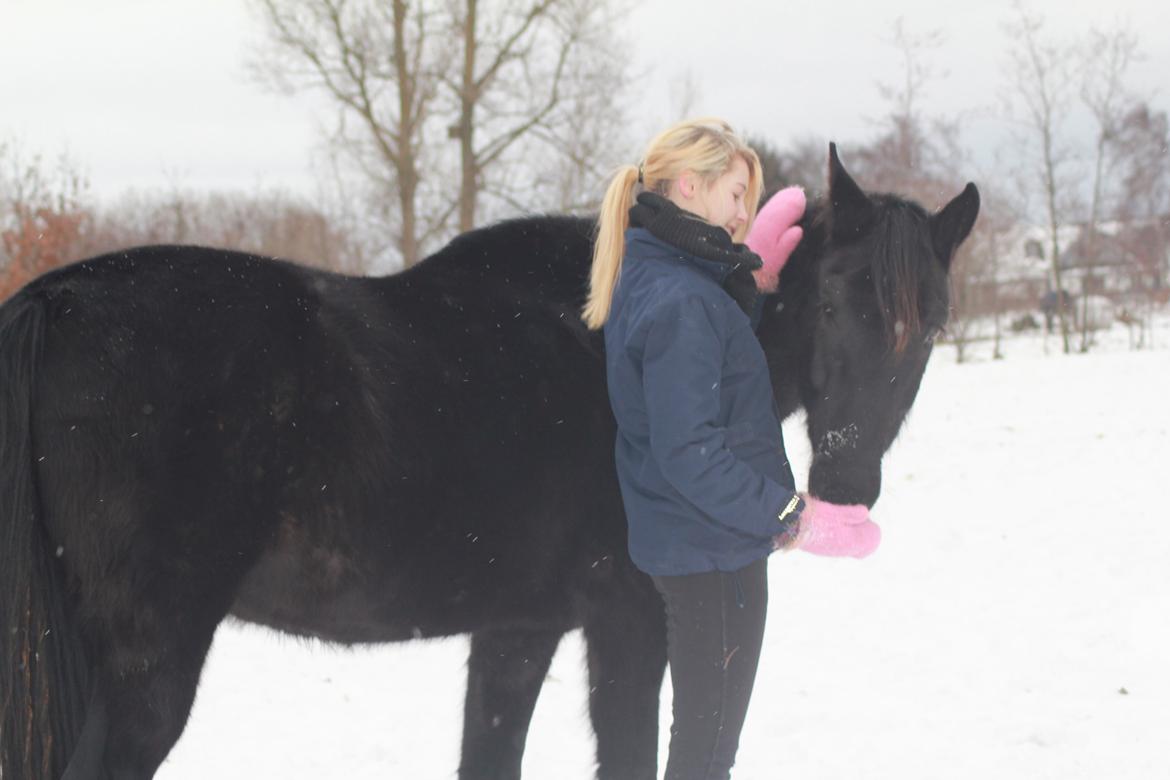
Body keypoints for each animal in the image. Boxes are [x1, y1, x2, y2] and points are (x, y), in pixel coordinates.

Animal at [0, 145, 978, 776]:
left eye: (932, 324)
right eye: (834, 303)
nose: (844, 486)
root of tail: (54, 301)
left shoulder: (517, 631)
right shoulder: (627, 625)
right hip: (145, 672)